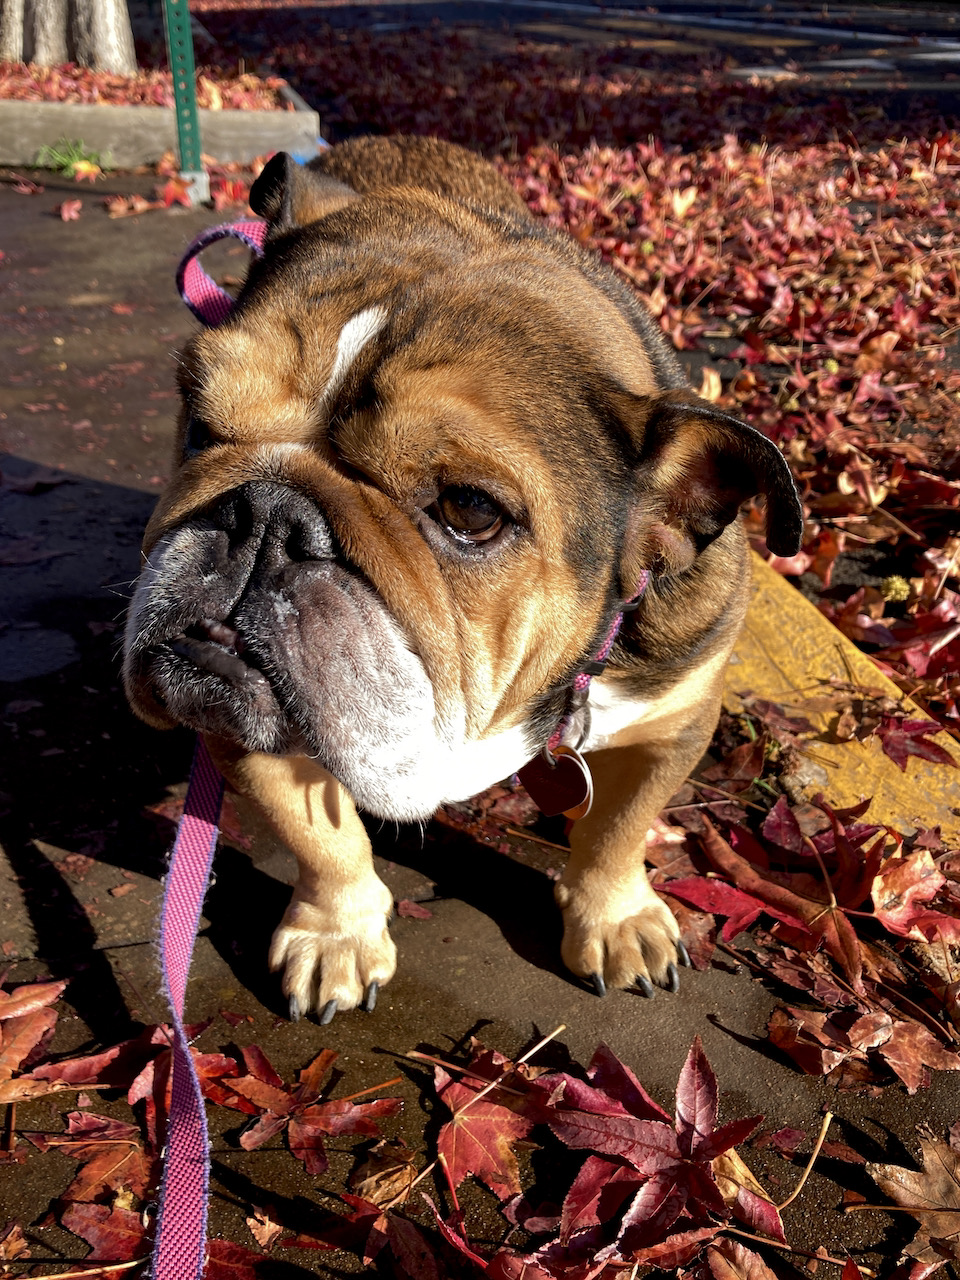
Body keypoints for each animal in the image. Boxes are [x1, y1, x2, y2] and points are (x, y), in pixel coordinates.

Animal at [124, 135, 802, 1022]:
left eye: (470, 512)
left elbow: (621, 827)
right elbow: (320, 836)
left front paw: (617, 917)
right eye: (199, 422)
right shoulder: (236, 724)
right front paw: (338, 933)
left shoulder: (678, 723)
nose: (264, 514)